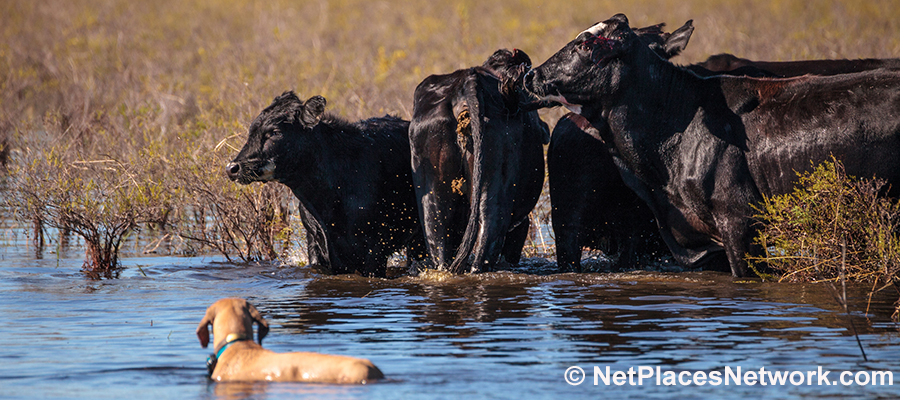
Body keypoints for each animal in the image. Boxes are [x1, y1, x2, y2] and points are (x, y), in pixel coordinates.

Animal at [410, 49, 549, 274]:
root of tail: (467, 82)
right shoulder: (520, 223)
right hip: (497, 183)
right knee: (488, 233)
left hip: (431, 188)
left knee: (438, 235)